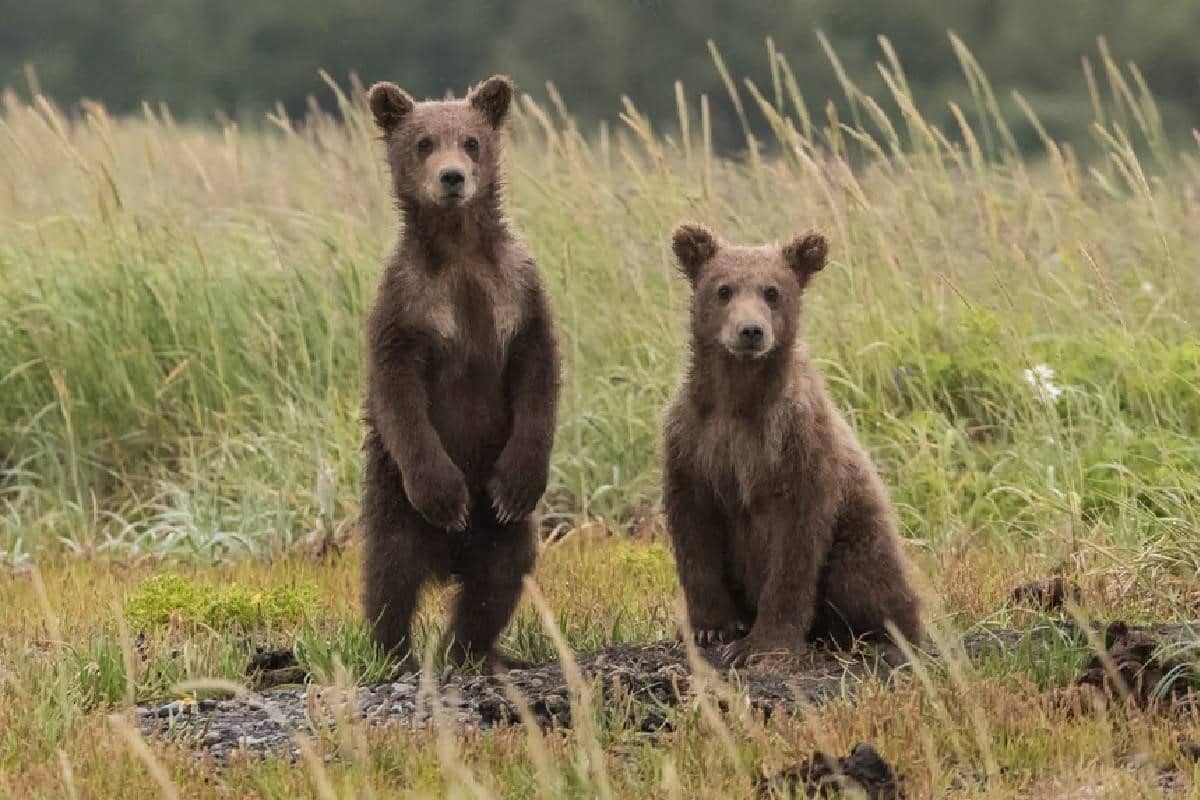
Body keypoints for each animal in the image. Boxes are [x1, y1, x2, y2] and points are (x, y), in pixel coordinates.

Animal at [359, 75, 561, 671]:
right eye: (423, 142)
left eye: (471, 141)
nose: (452, 177)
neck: (459, 250)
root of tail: (449, 559)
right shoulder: (406, 304)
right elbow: (399, 394)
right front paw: (447, 496)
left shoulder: (518, 291)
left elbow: (538, 374)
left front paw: (517, 483)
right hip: (392, 499)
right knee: (390, 575)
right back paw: (393, 653)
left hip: (502, 534)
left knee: (497, 578)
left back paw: (474, 651)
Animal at [661, 223, 923, 667]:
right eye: (724, 289)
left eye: (772, 291)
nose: (751, 331)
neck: (739, 400)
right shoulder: (692, 440)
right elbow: (694, 530)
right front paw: (712, 628)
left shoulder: (797, 444)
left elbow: (794, 547)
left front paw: (764, 645)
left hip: (860, 534)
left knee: (868, 580)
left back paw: (882, 638)